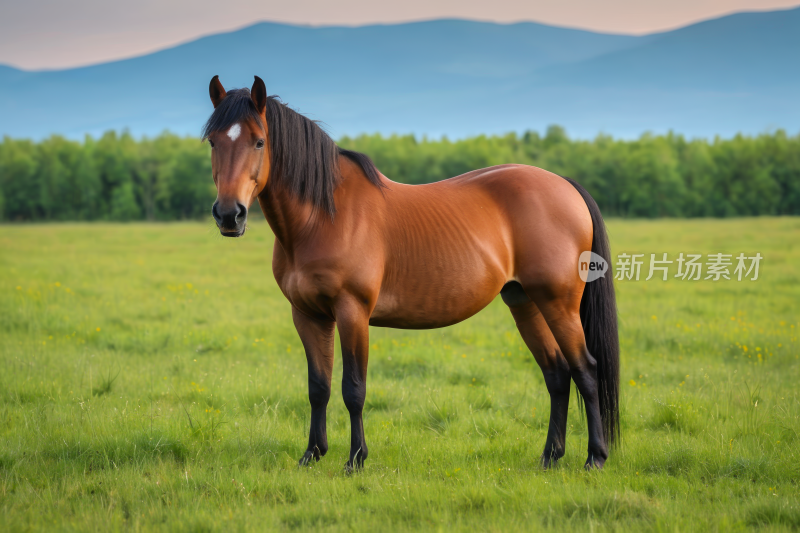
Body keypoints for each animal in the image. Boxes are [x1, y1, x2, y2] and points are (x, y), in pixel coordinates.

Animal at [205, 76, 620, 470]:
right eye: (212, 142)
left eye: (259, 142)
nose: (229, 215)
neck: (323, 217)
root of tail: (566, 186)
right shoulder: (308, 315)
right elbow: (318, 387)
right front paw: (313, 454)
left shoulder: (352, 312)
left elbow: (353, 389)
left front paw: (355, 459)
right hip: (525, 302)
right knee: (557, 374)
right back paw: (550, 456)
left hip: (558, 304)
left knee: (585, 370)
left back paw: (595, 457)